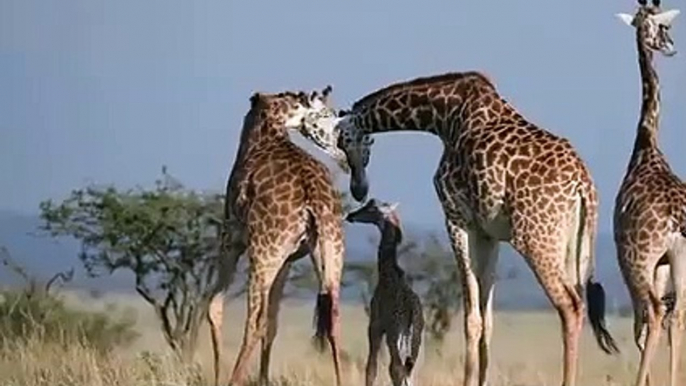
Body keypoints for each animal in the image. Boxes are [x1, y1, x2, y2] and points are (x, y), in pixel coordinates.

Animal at [203, 87, 344, 386]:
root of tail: (314, 197)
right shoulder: (288, 258)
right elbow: (273, 322)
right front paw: (263, 379)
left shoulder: (231, 237)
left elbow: (214, 307)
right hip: (330, 249)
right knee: (333, 318)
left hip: (263, 252)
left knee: (254, 321)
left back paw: (233, 380)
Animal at [346, 199, 428, 386]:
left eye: (371, 207)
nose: (350, 215)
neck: (387, 272)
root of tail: (413, 312)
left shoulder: (375, 325)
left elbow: (371, 367)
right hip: (416, 340)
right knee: (409, 371)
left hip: (395, 335)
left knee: (396, 369)